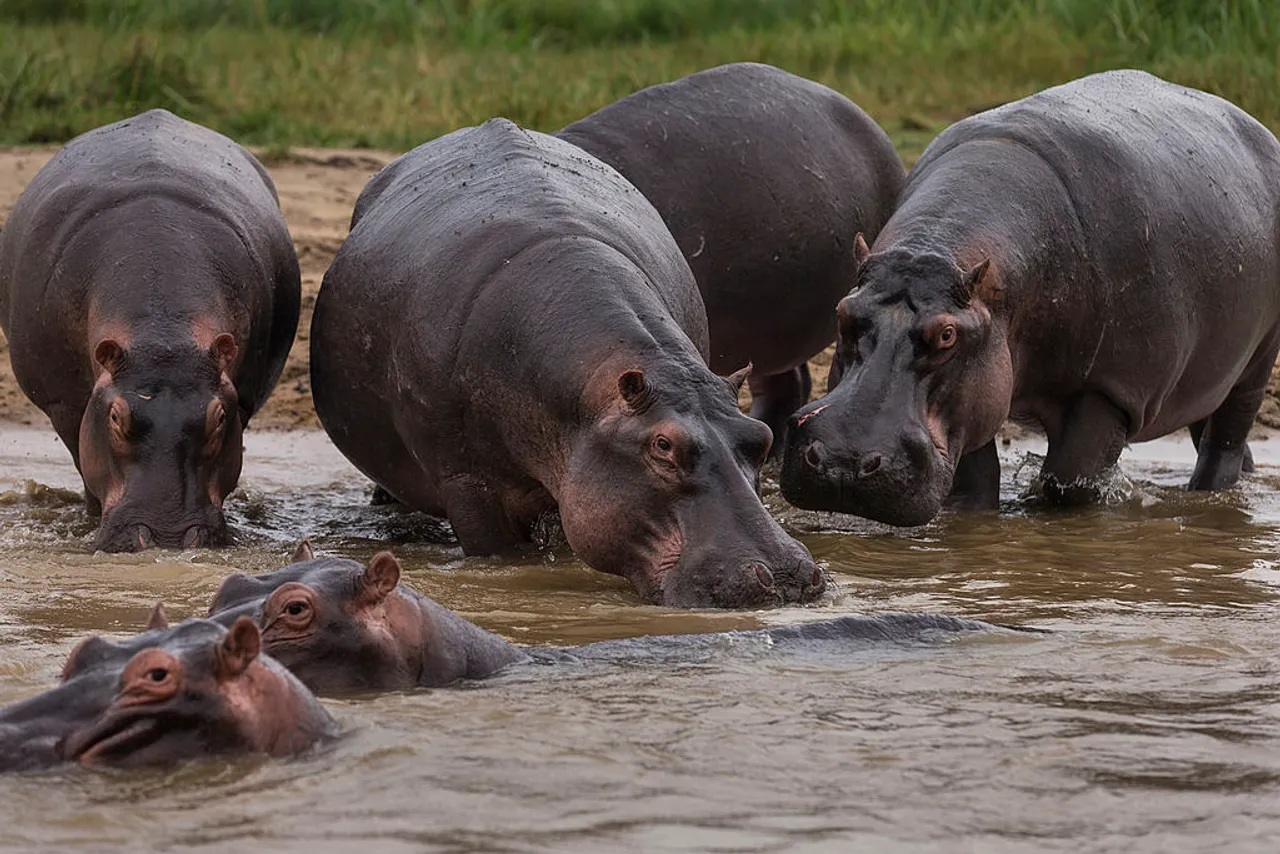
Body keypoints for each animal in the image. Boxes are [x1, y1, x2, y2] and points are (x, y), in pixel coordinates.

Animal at [0, 109, 301, 551]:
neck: (163, 333)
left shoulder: (241, 397)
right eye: (115, 417)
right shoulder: (66, 407)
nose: (166, 534)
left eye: (218, 418)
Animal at [781, 70, 1280, 525]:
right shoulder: (979, 390)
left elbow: (1069, 481)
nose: (843, 462)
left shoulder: (1110, 388)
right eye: (843, 313)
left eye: (946, 335)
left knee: (1226, 437)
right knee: (1214, 425)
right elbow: (975, 479)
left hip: (1257, 360)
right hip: (1213, 365)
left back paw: (1210, 494)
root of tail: (1255, 127)